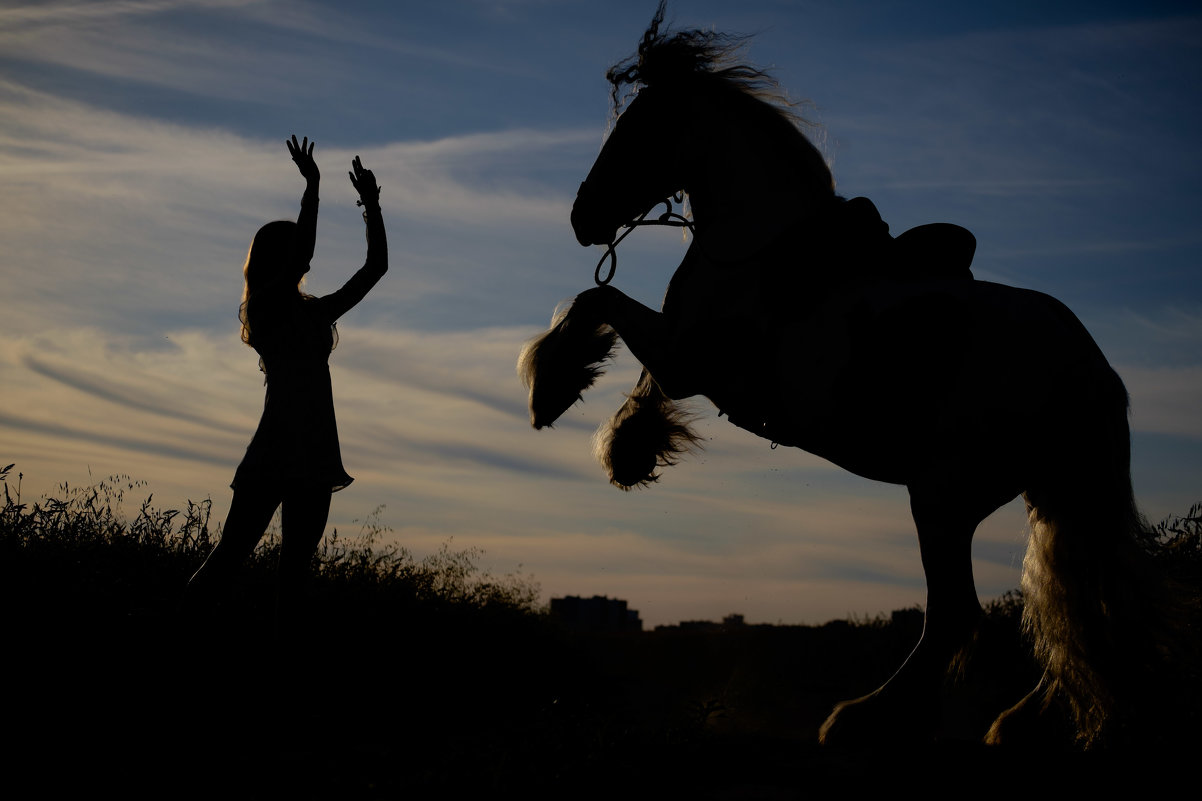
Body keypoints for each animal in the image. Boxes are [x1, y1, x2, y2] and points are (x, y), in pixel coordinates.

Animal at [521, 3, 1177, 745]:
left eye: (634, 131)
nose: (582, 216)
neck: (762, 246)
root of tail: (1092, 371)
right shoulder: (685, 355)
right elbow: (635, 367)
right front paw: (630, 448)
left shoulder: (693, 357)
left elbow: (596, 302)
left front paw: (553, 388)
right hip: (1051, 494)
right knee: (1081, 611)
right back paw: (1016, 720)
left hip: (945, 495)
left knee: (959, 614)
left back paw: (865, 716)